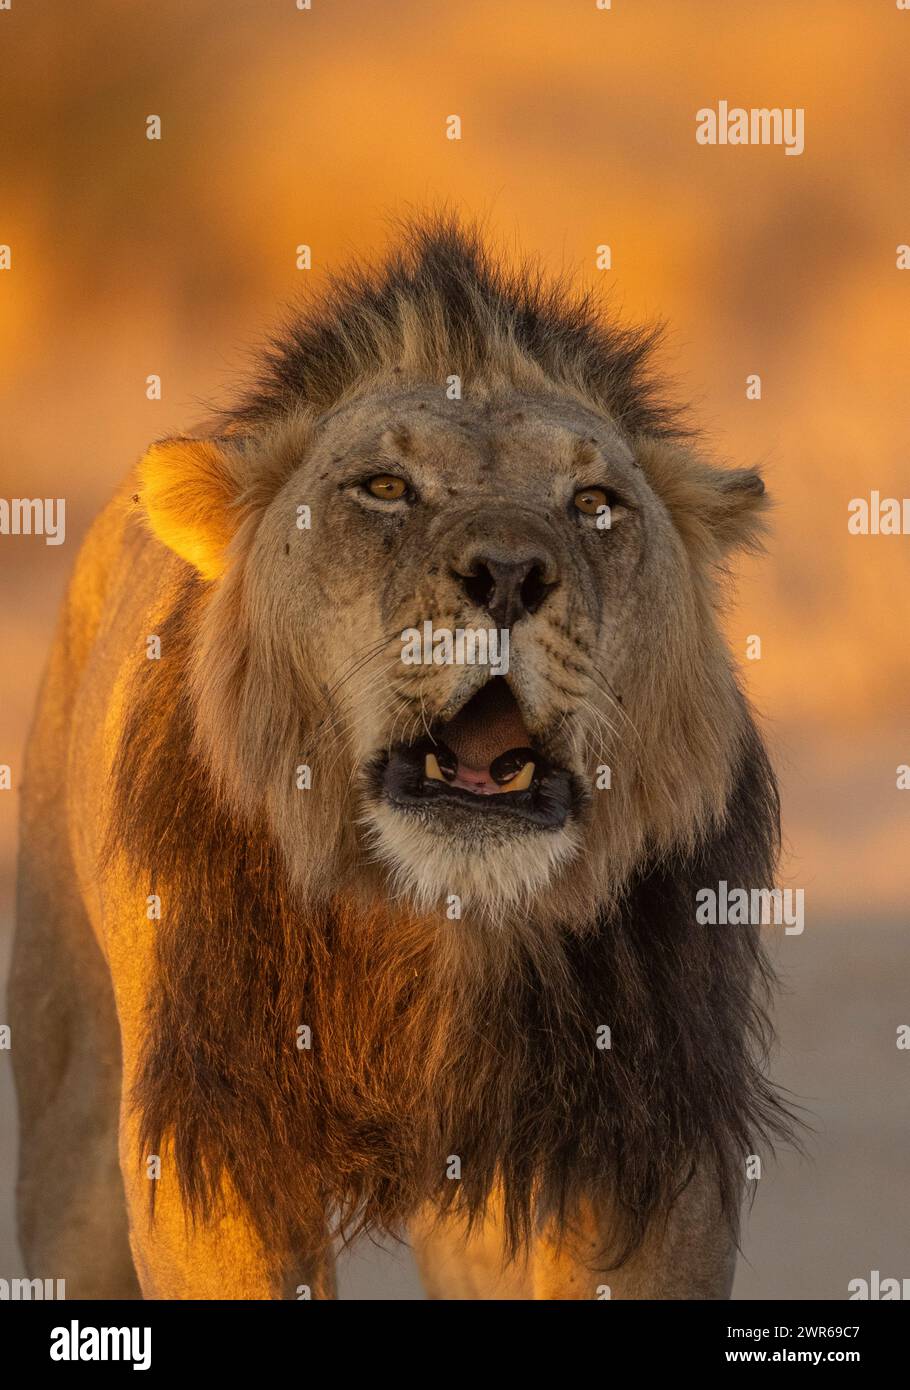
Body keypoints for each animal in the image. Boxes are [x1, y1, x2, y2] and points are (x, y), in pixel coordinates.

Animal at [7, 214, 794, 1289]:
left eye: (594, 502)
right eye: (386, 488)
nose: (508, 572)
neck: (439, 921)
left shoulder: (648, 1144)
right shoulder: (212, 1142)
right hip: (72, 1127)